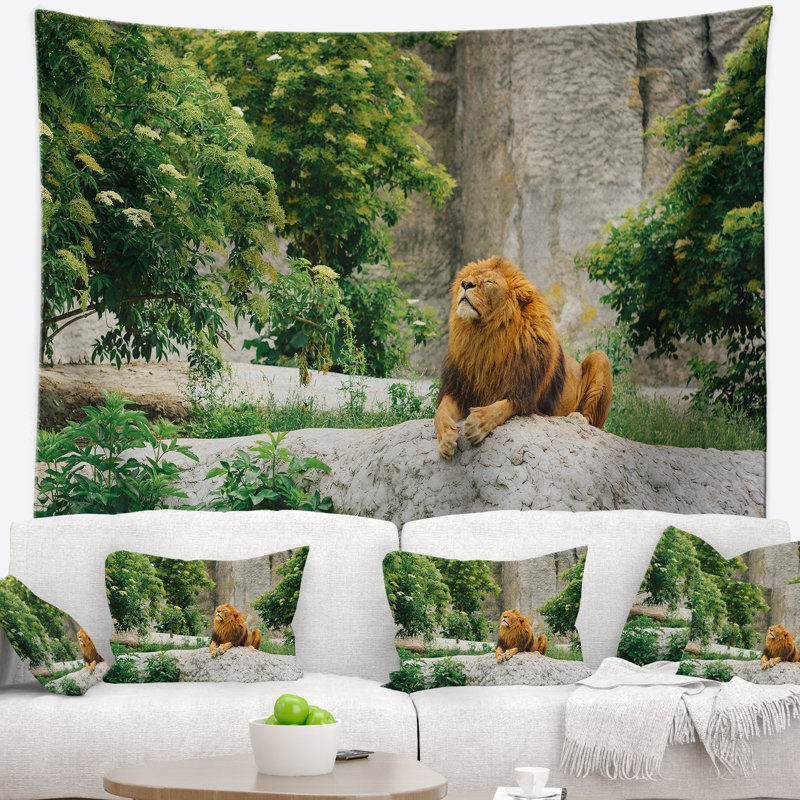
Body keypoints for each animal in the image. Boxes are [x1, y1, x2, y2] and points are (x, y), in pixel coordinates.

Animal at [435, 256, 613, 459]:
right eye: (469, 277)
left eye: (490, 282)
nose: (465, 284)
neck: (484, 337)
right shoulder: (459, 389)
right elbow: (440, 412)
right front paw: (445, 439)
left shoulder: (527, 394)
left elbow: (501, 407)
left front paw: (477, 424)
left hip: (600, 358)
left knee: (593, 420)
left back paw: (577, 417)